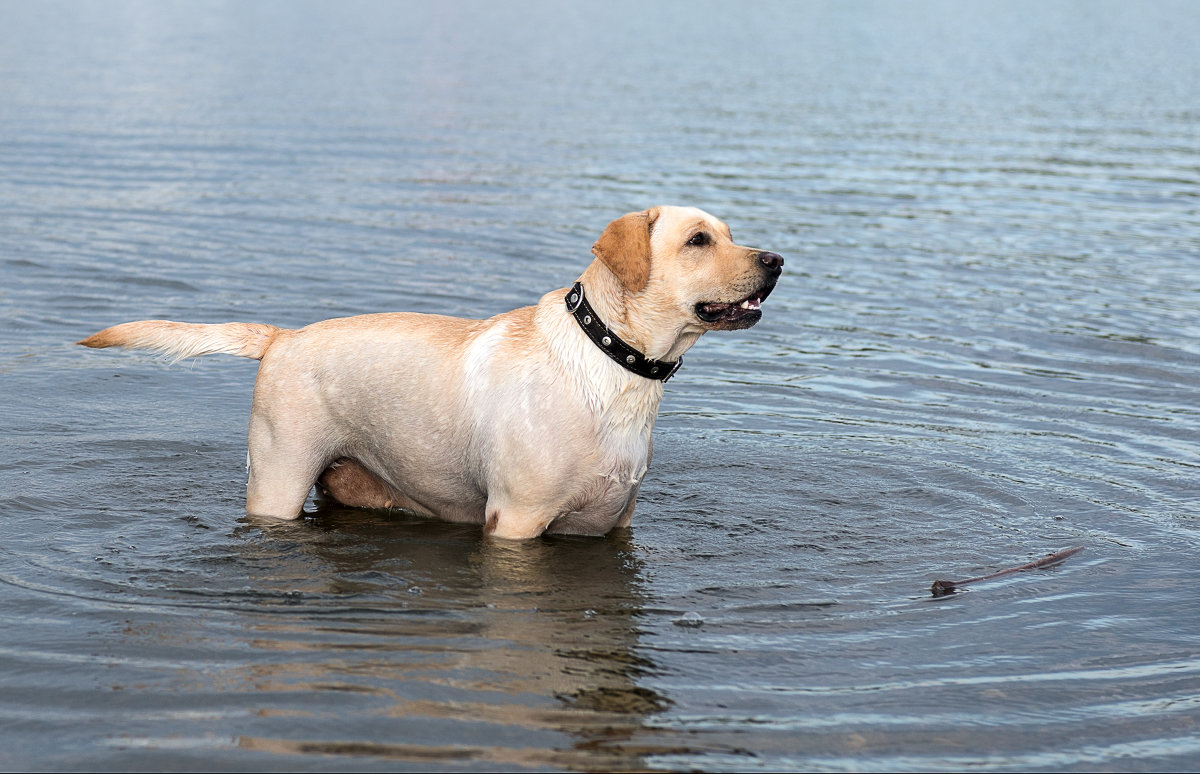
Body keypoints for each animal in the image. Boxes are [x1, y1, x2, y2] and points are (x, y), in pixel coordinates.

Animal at [79, 205, 782, 537]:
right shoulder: (515, 523)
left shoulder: (617, 520)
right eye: (698, 241)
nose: (776, 259)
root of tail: (282, 337)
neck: (614, 366)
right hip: (276, 480)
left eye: (730, 233)